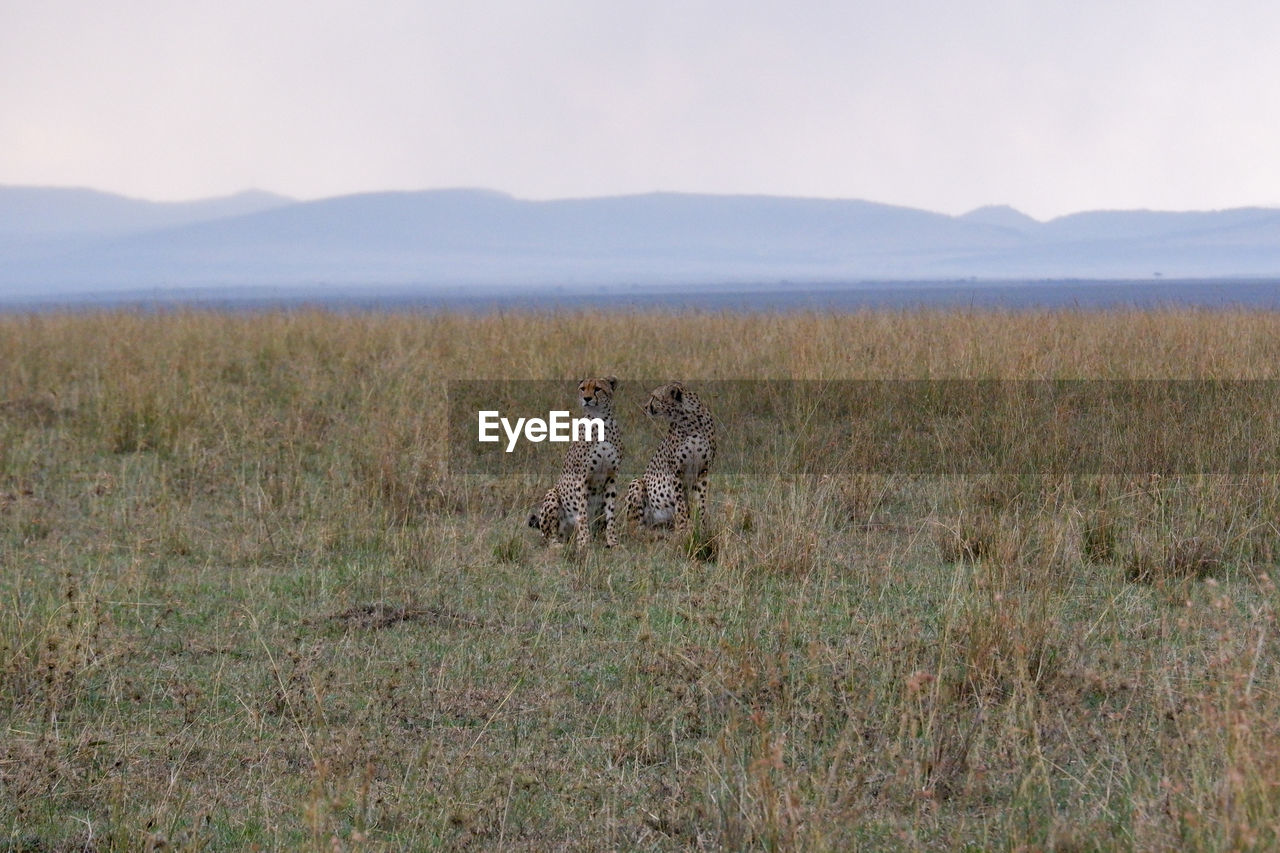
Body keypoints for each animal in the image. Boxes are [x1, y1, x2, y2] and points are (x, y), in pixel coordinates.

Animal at [519, 376, 619, 548]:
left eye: (597, 388)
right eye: (583, 388)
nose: (587, 398)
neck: (601, 420)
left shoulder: (611, 477)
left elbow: (610, 513)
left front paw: (612, 541)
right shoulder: (582, 478)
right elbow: (582, 512)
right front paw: (584, 543)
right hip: (552, 495)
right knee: (548, 537)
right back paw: (559, 545)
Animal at [622, 379, 716, 532]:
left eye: (655, 397)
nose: (645, 407)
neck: (690, 420)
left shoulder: (703, 471)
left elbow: (701, 503)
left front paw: (702, 528)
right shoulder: (676, 472)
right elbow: (681, 504)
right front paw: (683, 529)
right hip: (637, 483)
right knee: (634, 526)